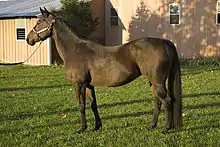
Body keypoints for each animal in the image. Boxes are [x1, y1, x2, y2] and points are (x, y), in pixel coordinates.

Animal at [26, 7, 182, 134]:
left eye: (39, 22)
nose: (28, 39)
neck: (75, 50)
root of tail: (165, 43)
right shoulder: (88, 85)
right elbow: (93, 105)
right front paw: (96, 126)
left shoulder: (78, 84)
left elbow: (81, 106)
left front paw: (82, 128)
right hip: (152, 82)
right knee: (158, 101)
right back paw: (152, 125)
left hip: (158, 82)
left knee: (167, 100)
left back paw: (166, 128)